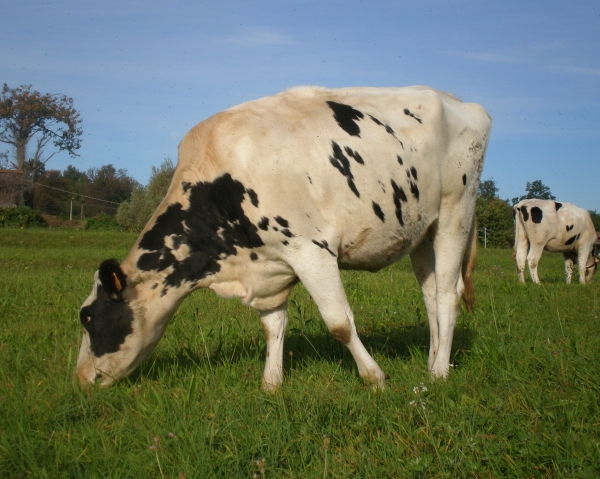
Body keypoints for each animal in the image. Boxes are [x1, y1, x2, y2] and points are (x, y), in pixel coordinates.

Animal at [75, 87, 490, 394]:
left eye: (88, 317)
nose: (81, 379)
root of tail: (460, 102)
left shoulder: (311, 249)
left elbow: (339, 323)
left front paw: (374, 377)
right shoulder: (269, 266)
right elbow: (272, 325)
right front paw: (271, 383)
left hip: (455, 212)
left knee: (448, 294)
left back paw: (439, 372)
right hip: (422, 230)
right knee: (431, 294)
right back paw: (433, 360)